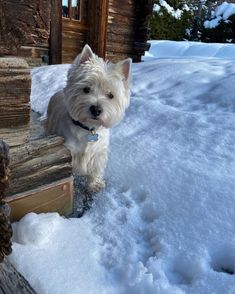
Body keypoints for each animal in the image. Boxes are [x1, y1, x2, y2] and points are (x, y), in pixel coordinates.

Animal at [45, 43, 131, 191]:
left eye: (111, 95)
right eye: (86, 89)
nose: (96, 109)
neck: (88, 129)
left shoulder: (99, 152)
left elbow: (95, 169)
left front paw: (94, 184)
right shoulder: (68, 151)